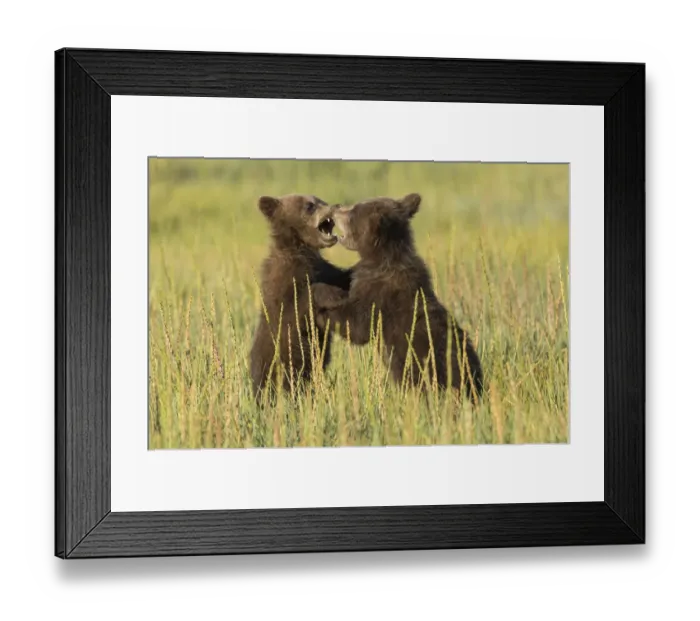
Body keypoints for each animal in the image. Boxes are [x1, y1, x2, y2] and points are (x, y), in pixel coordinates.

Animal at [249, 194, 352, 402]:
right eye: (309, 206)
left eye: (321, 200)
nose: (335, 206)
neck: (301, 248)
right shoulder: (283, 283)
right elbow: (294, 310)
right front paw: (335, 294)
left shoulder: (323, 269)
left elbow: (342, 275)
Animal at [311, 193, 483, 403]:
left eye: (353, 212)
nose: (336, 207)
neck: (383, 259)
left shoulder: (381, 295)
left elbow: (358, 324)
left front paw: (321, 304)